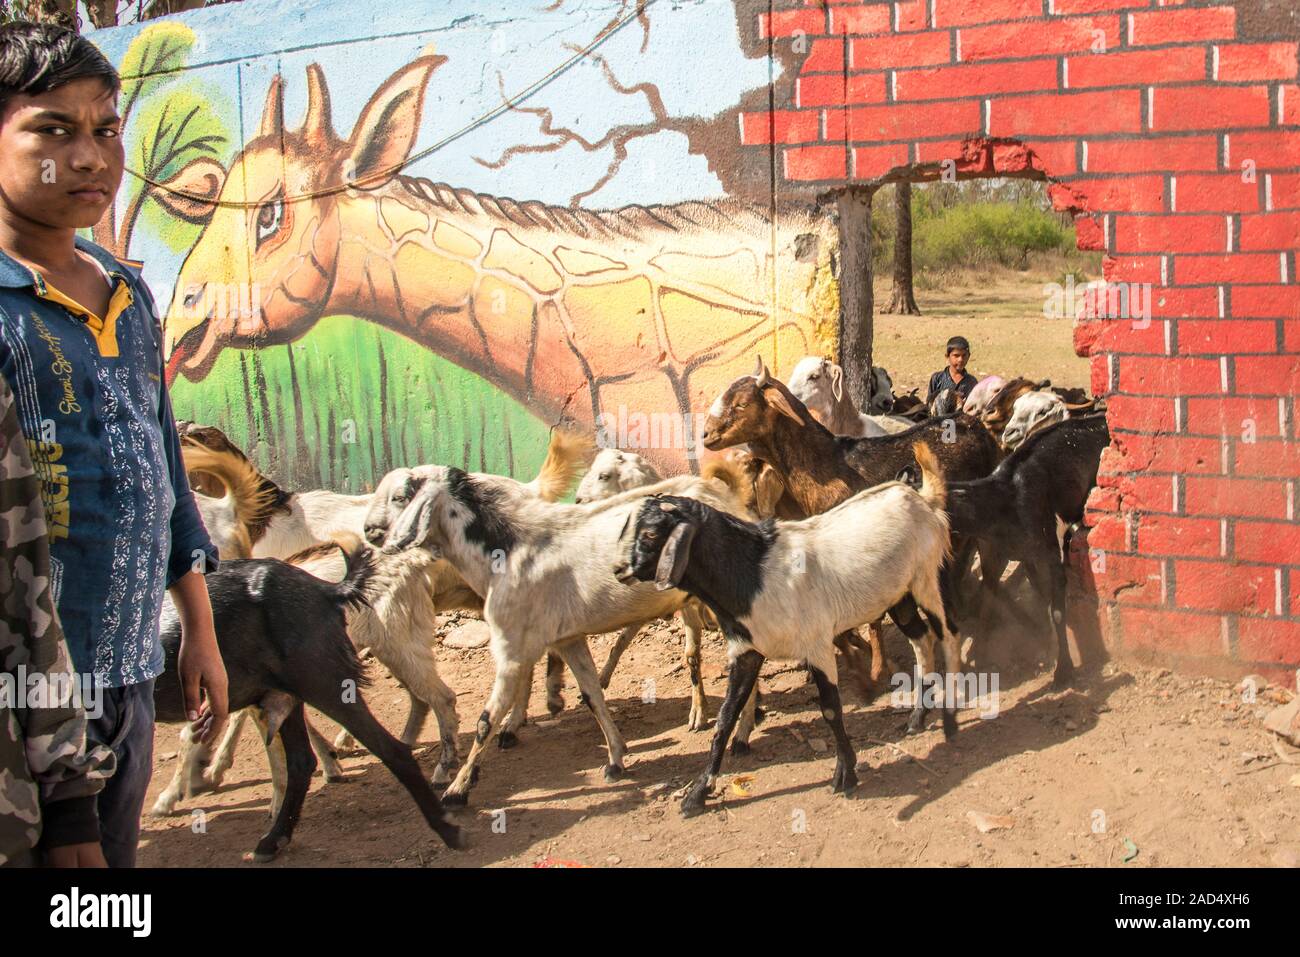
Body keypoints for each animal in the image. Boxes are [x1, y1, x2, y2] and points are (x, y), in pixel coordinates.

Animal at [377, 462, 748, 800]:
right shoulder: (568, 639)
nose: (373, 533)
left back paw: (740, 735)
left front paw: (458, 788)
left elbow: (486, 720)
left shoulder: (511, 649)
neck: (507, 550)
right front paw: (616, 759)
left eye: (400, 496)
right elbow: (592, 695)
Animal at [608, 442, 956, 816]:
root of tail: (919, 496)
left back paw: (950, 717)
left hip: (926, 579)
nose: (619, 569)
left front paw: (846, 774)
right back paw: (918, 717)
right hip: (898, 595)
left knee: (946, 634)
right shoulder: (746, 652)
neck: (752, 572)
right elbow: (724, 720)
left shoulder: (817, 647)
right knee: (921, 639)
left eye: (650, 534)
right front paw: (697, 794)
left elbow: (830, 709)